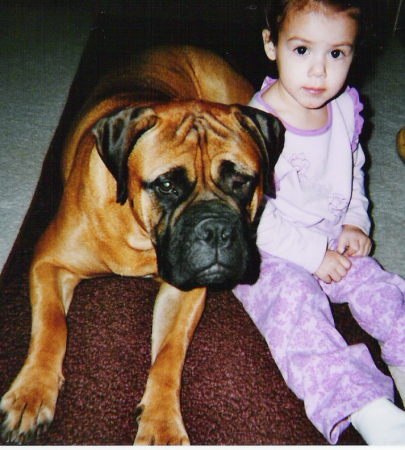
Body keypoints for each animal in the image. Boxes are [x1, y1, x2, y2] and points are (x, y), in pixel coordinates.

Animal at [0, 44, 284, 444]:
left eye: (242, 181)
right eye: (166, 185)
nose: (215, 230)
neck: (138, 233)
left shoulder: (185, 294)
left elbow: (168, 353)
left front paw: (162, 422)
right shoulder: (48, 262)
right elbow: (52, 325)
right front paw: (32, 393)